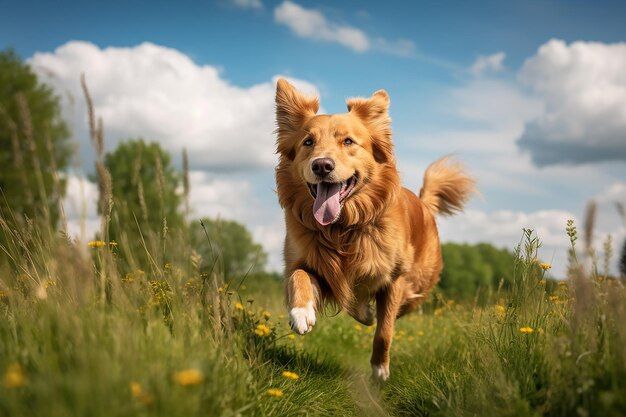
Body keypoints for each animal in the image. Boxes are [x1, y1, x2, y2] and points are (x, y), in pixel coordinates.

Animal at [272, 79, 472, 380]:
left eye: (348, 141)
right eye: (308, 142)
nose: (322, 165)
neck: (343, 229)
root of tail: (423, 202)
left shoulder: (394, 280)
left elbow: (384, 331)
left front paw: (380, 370)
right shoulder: (313, 265)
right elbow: (299, 276)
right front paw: (301, 313)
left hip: (419, 283)